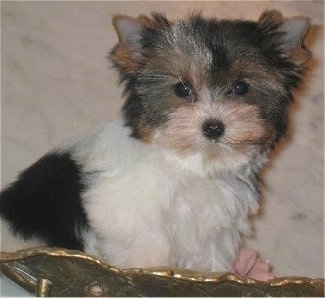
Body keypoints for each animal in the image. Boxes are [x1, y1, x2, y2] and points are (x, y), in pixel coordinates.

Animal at [0, 9, 308, 280]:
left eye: (241, 88)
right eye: (181, 88)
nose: (213, 126)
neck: (192, 165)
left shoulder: (214, 227)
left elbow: (210, 257)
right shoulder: (126, 211)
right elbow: (146, 251)